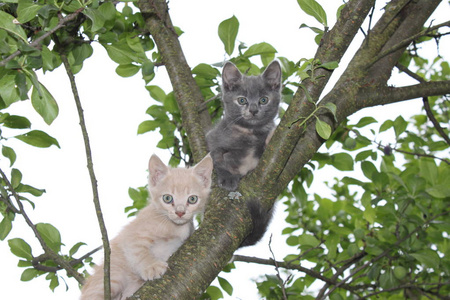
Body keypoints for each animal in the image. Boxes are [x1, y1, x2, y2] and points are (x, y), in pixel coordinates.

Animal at [80, 155, 214, 300]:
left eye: (192, 199)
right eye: (167, 198)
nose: (180, 212)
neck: (173, 225)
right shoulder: (132, 234)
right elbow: (139, 250)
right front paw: (152, 266)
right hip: (111, 277)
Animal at [205, 60, 282, 246]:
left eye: (263, 100)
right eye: (242, 100)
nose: (253, 110)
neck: (249, 133)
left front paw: (270, 135)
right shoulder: (213, 138)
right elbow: (216, 157)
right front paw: (227, 177)